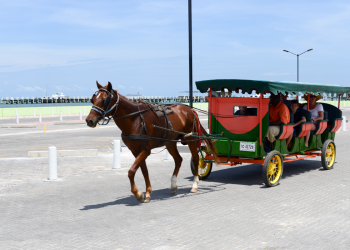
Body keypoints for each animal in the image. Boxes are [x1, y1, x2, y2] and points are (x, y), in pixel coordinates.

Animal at [86, 82, 217, 203]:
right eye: (93, 99)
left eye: (104, 100)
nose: (89, 120)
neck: (135, 119)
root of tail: (190, 109)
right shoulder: (135, 151)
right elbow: (144, 171)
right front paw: (147, 192)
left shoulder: (145, 150)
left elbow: (131, 171)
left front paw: (138, 193)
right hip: (170, 142)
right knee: (178, 160)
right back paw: (173, 185)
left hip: (191, 139)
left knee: (195, 159)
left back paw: (195, 184)